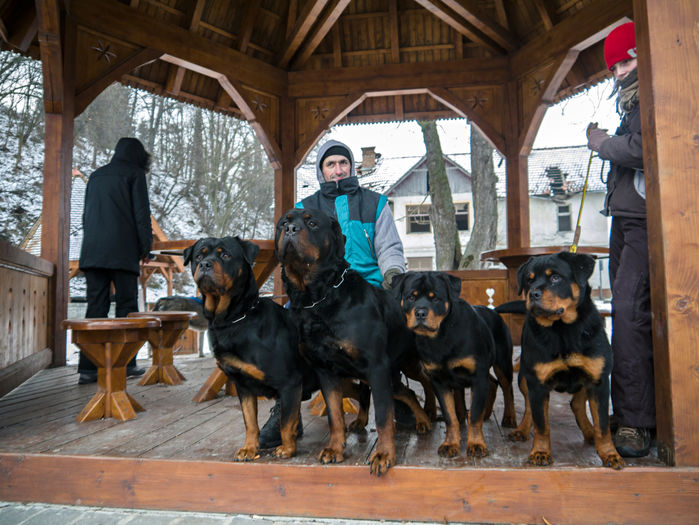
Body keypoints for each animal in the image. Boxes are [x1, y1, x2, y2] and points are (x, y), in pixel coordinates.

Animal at [182, 237, 316, 462]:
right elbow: (250, 421)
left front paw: (288, 449)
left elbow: (286, 422)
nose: (206, 264)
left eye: (226, 255)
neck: (234, 319)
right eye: (198, 256)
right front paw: (250, 449)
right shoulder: (243, 386)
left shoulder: (290, 383)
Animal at [274, 208, 432, 474]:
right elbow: (335, 415)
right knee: (403, 393)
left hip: (407, 363)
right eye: (283, 223)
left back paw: (428, 415)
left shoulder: (377, 366)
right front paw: (335, 449)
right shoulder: (325, 371)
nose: (290, 229)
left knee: (424, 383)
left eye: (312, 223)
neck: (317, 298)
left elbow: (383, 417)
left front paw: (384, 454)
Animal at [394, 272, 520, 456]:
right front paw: (451, 444)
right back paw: (485, 413)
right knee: (492, 383)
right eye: (411, 297)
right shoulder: (439, 381)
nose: (420, 312)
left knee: (506, 387)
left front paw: (476, 444)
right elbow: (449, 416)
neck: (441, 337)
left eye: (435, 298)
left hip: (502, 362)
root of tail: (493, 311)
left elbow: (474, 415)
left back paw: (509, 417)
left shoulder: (477, 377)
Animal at [504, 252, 624, 468]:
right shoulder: (537, 383)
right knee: (529, 408)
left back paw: (589, 431)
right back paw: (522, 430)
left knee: (576, 404)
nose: (533, 293)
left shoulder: (599, 381)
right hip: (524, 377)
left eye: (555, 278)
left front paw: (610, 454)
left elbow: (603, 426)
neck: (563, 330)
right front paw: (540, 452)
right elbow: (541, 424)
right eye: (529, 280)